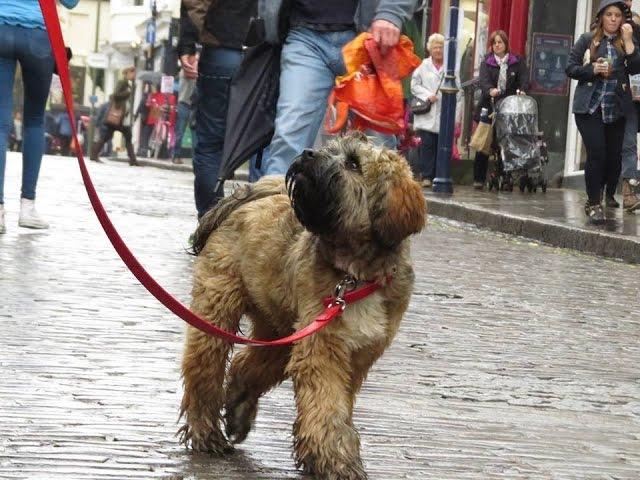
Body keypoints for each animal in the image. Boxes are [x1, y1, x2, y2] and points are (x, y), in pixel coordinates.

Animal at [179, 132, 424, 480]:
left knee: (246, 364)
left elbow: (334, 406)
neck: (355, 274)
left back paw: (238, 406)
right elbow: (326, 405)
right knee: (203, 369)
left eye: (353, 163)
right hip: (219, 309)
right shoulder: (323, 349)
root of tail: (250, 199)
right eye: (329, 149)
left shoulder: (356, 355)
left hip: (282, 329)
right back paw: (206, 433)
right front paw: (336, 461)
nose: (308, 153)